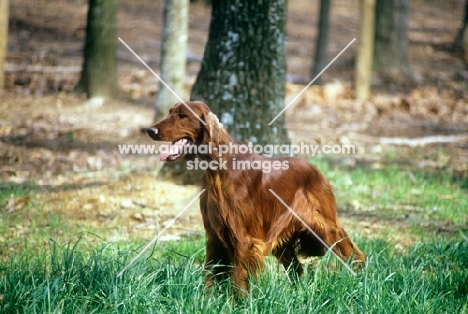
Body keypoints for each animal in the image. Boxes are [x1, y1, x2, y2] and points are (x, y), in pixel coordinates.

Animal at [146, 101, 366, 294]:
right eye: (170, 112)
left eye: (182, 115)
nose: (150, 130)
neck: (219, 170)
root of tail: (315, 168)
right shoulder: (215, 237)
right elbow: (210, 274)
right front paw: (206, 300)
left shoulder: (244, 240)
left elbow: (239, 281)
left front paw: (236, 305)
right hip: (282, 238)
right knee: (297, 268)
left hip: (326, 227)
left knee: (356, 255)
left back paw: (360, 284)